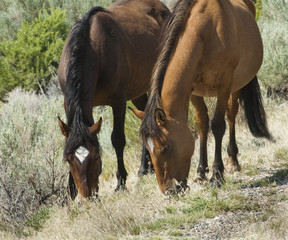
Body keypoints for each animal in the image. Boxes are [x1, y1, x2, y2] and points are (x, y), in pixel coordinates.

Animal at [57, 0, 170, 199]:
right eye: (69, 159)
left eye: (96, 157)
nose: (88, 195)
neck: (93, 49)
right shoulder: (72, 103)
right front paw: (70, 191)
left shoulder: (118, 101)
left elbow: (117, 139)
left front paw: (121, 182)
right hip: (138, 92)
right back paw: (144, 168)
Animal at [130, 0, 270, 193]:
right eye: (149, 151)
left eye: (166, 147)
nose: (169, 191)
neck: (205, 33)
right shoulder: (193, 91)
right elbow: (202, 124)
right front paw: (201, 172)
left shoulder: (224, 84)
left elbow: (217, 125)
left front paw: (217, 175)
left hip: (237, 85)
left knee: (231, 114)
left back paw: (233, 161)